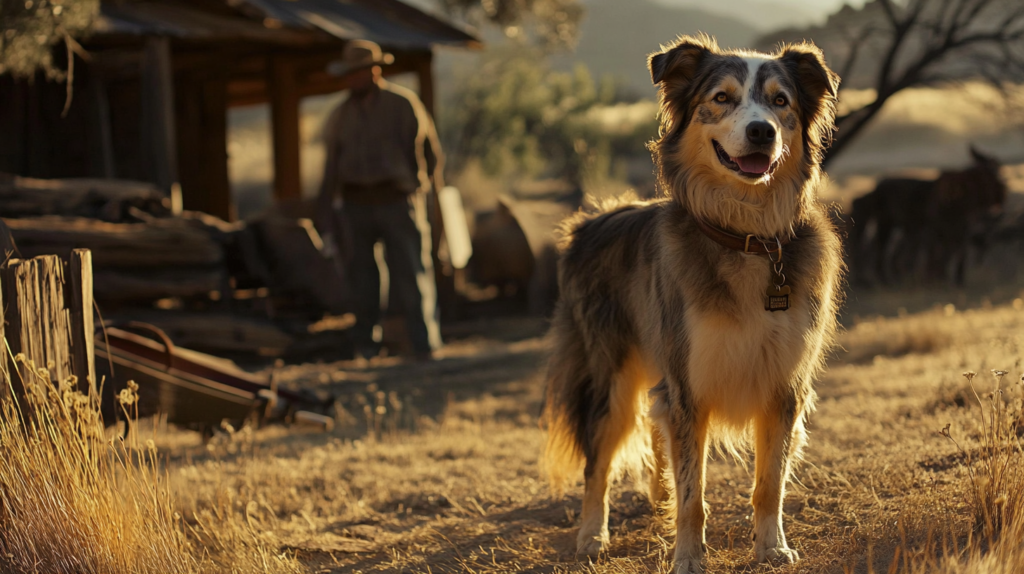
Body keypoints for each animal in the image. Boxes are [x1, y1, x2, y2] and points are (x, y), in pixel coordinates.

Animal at [540, 35, 843, 572]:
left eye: (780, 101)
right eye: (721, 98)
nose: (762, 132)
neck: (746, 236)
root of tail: (588, 222)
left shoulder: (784, 384)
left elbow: (769, 483)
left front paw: (772, 547)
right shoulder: (689, 384)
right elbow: (692, 493)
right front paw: (687, 557)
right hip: (609, 376)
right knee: (598, 459)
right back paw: (592, 535)